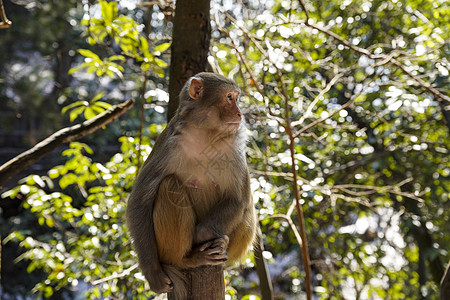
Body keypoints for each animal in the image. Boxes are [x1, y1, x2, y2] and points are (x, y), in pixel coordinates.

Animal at [125, 72, 256, 298]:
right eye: (229, 97)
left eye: (236, 98)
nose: (239, 114)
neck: (206, 134)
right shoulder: (169, 146)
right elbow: (139, 202)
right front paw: (152, 273)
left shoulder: (235, 149)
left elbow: (239, 199)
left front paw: (201, 235)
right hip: (164, 249)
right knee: (170, 185)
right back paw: (185, 259)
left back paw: (222, 243)